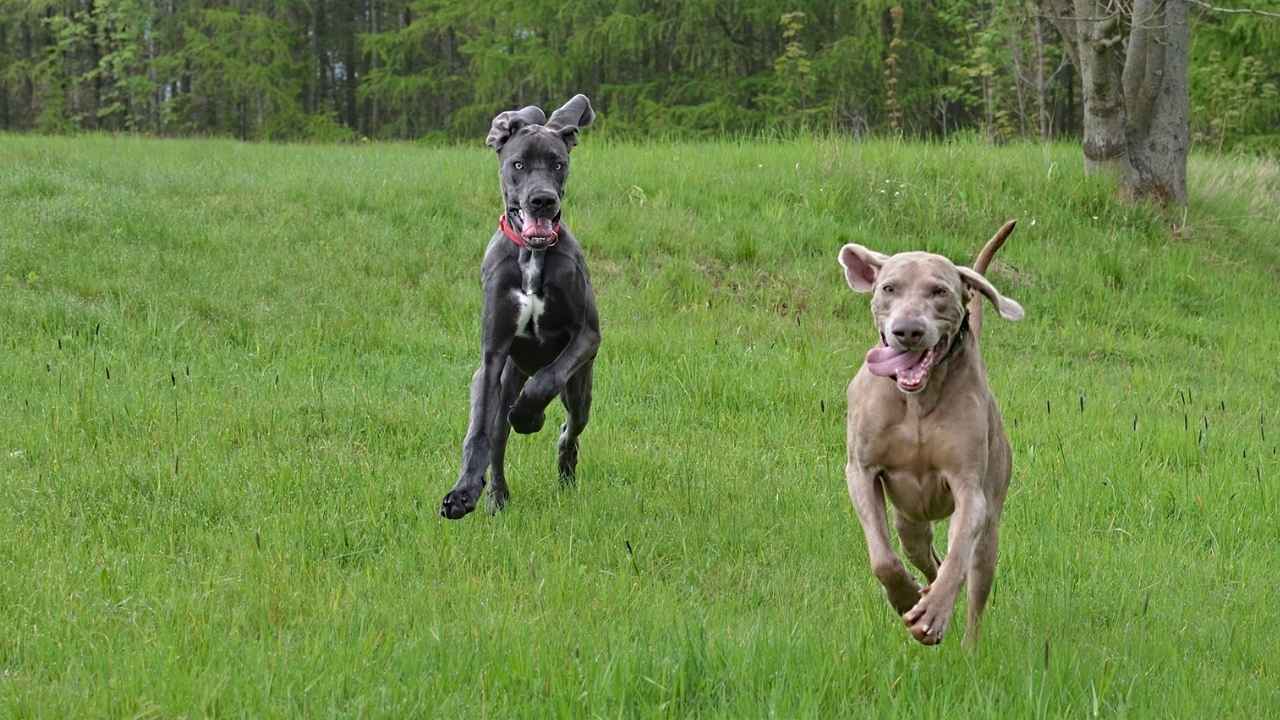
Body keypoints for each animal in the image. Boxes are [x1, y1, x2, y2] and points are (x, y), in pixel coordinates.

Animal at [440, 96, 599, 520]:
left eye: (558, 163)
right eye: (518, 165)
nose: (542, 200)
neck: (532, 255)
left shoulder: (588, 335)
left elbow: (548, 377)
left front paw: (530, 416)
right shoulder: (493, 354)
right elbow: (479, 432)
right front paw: (462, 492)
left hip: (581, 389)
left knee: (571, 428)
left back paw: (562, 467)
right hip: (501, 378)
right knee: (496, 433)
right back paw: (495, 496)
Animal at [839, 220, 1018, 645]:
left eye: (939, 291)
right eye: (889, 288)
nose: (908, 331)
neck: (917, 401)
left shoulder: (970, 489)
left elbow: (959, 556)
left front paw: (934, 613)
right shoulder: (861, 471)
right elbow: (883, 560)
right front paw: (905, 597)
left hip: (990, 527)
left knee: (972, 578)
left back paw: (961, 638)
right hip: (910, 521)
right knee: (925, 555)